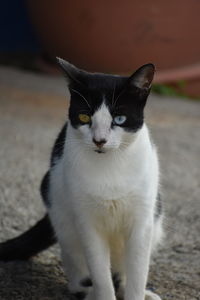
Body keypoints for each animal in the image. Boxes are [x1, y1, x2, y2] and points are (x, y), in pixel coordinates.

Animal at [0, 59, 162, 300]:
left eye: (119, 119)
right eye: (85, 117)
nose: (99, 140)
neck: (110, 166)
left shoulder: (142, 222)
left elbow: (137, 273)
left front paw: (137, 293)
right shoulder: (87, 224)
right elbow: (101, 276)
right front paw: (102, 294)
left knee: (124, 270)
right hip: (62, 216)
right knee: (78, 271)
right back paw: (87, 291)